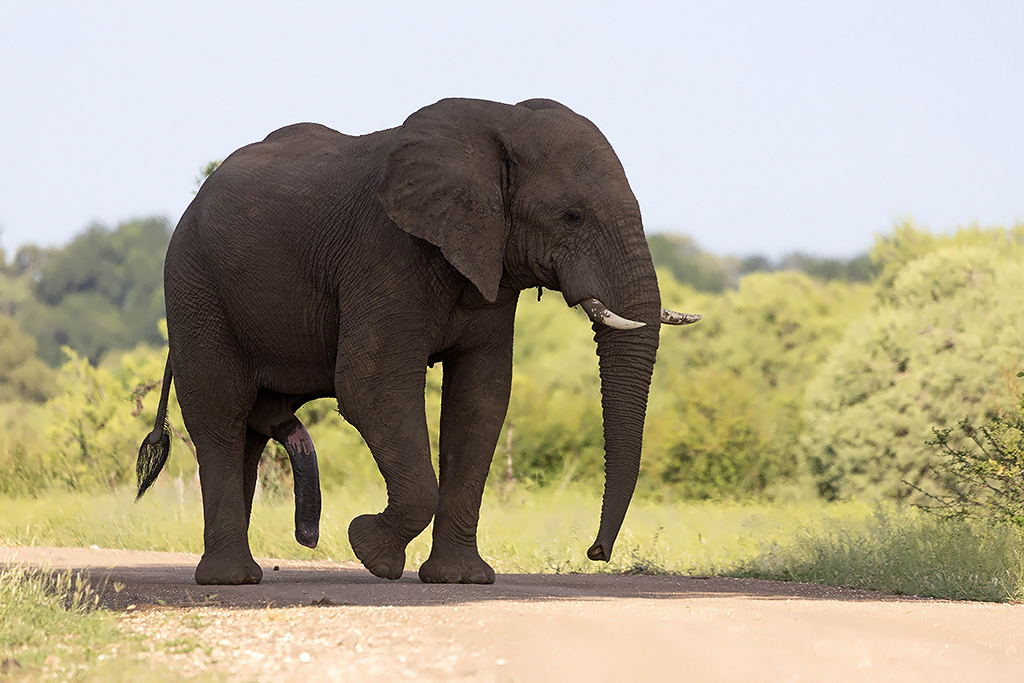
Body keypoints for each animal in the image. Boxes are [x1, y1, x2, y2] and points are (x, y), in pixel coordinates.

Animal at [136, 97, 701, 586]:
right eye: (573, 216)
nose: (595, 551)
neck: (498, 124)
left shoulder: (489, 268)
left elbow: (481, 399)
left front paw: (461, 579)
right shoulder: (384, 255)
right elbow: (371, 388)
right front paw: (370, 550)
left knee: (251, 429)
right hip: (194, 288)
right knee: (220, 414)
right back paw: (230, 579)